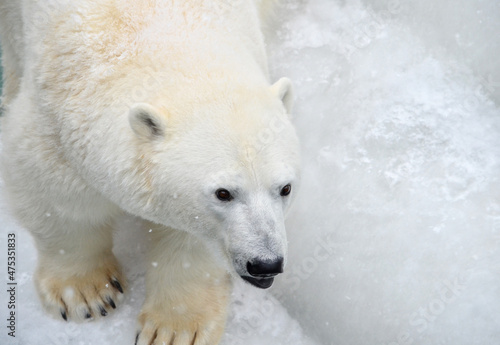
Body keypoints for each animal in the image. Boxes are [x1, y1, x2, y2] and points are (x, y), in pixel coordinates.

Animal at [0, 1, 298, 342]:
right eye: (223, 193)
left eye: (285, 188)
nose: (266, 264)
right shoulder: (52, 123)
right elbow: (57, 201)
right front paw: (87, 294)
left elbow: (193, 240)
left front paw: (176, 329)